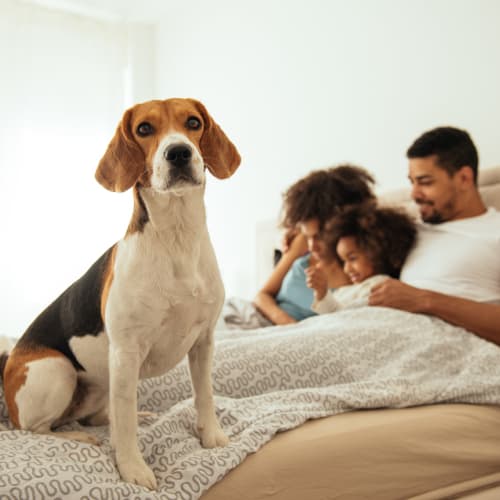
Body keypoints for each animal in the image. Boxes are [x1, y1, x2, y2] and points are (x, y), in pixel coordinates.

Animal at [0, 97, 240, 488]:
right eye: (144, 128)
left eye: (193, 122)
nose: (178, 152)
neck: (176, 236)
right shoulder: (126, 353)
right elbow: (125, 425)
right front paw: (133, 468)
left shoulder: (204, 341)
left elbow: (203, 394)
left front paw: (211, 436)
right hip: (57, 370)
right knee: (34, 428)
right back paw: (78, 438)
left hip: (99, 381)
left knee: (97, 415)